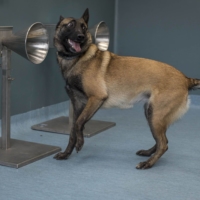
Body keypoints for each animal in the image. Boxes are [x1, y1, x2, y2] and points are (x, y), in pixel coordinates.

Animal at [53, 8, 200, 170]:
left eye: (84, 27)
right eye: (70, 25)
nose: (81, 37)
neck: (77, 59)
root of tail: (185, 78)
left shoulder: (96, 98)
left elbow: (79, 123)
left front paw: (80, 143)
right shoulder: (77, 105)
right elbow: (73, 130)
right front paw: (66, 153)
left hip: (155, 115)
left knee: (163, 144)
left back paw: (148, 164)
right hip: (152, 114)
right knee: (162, 140)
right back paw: (148, 153)